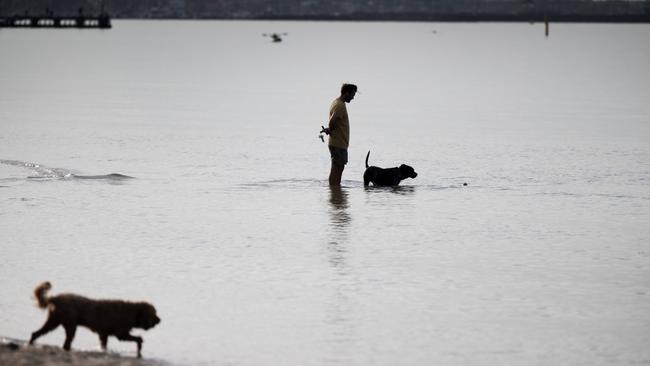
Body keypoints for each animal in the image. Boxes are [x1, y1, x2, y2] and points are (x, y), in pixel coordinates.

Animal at [28, 284, 161, 358]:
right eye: (154, 313)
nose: (160, 320)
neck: (133, 312)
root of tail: (54, 298)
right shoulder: (121, 334)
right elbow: (138, 339)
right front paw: (139, 346)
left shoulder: (104, 334)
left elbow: (104, 344)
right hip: (70, 325)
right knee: (66, 342)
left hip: (54, 321)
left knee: (36, 333)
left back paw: (30, 343)